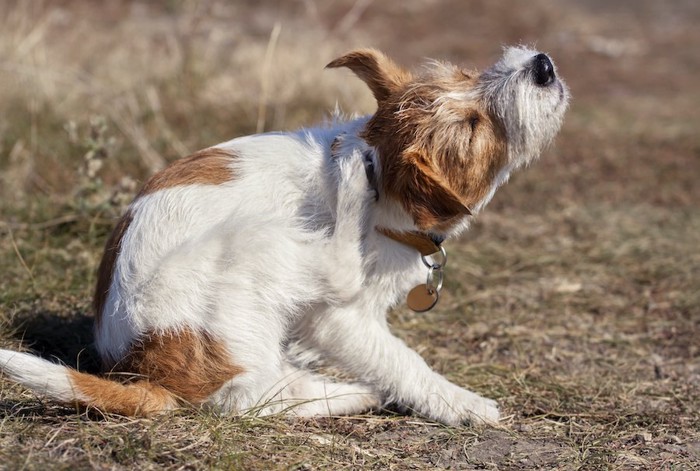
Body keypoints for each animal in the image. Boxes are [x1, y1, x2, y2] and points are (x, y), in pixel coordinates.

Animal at [0, 46, 568, 426]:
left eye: (467, 74)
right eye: (473, 125)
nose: (542, 64)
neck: (386, 182)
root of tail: (147, 371)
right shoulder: (340, 320)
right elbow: (401, 360)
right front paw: (462, 403)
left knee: (268, 390)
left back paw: (349, 391)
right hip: (257, 241)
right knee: (246, 396)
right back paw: (348, 185)